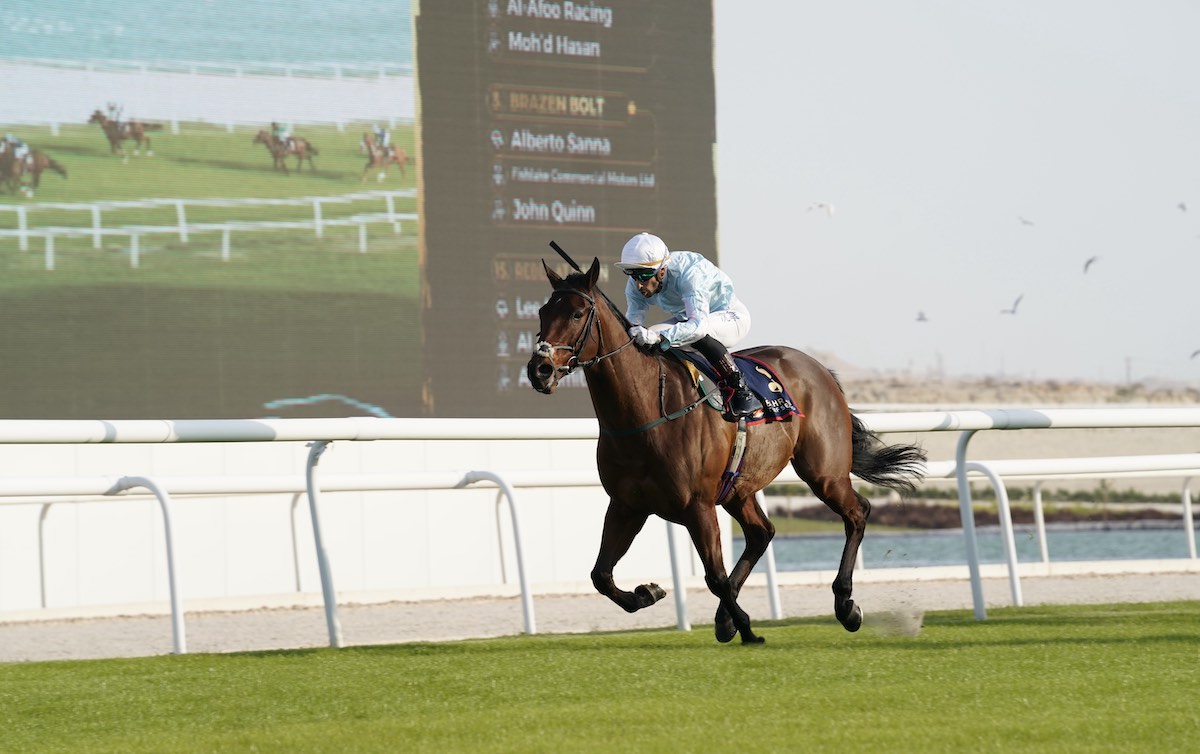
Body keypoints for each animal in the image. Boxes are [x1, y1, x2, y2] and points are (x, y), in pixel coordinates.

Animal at [525, 258, 926, 643]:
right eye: (543, 312)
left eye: (577, 313)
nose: (539, 369)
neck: (648, 411)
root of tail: (820, 369)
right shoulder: (627, 505)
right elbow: (601, 575)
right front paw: (648, 593)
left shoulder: (697, 505)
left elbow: (714, 576)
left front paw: (747, 628)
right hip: (739, 487)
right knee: (762, 533)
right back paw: (726, 617)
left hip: (823, 472)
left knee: (857, 513)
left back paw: (845, 605)